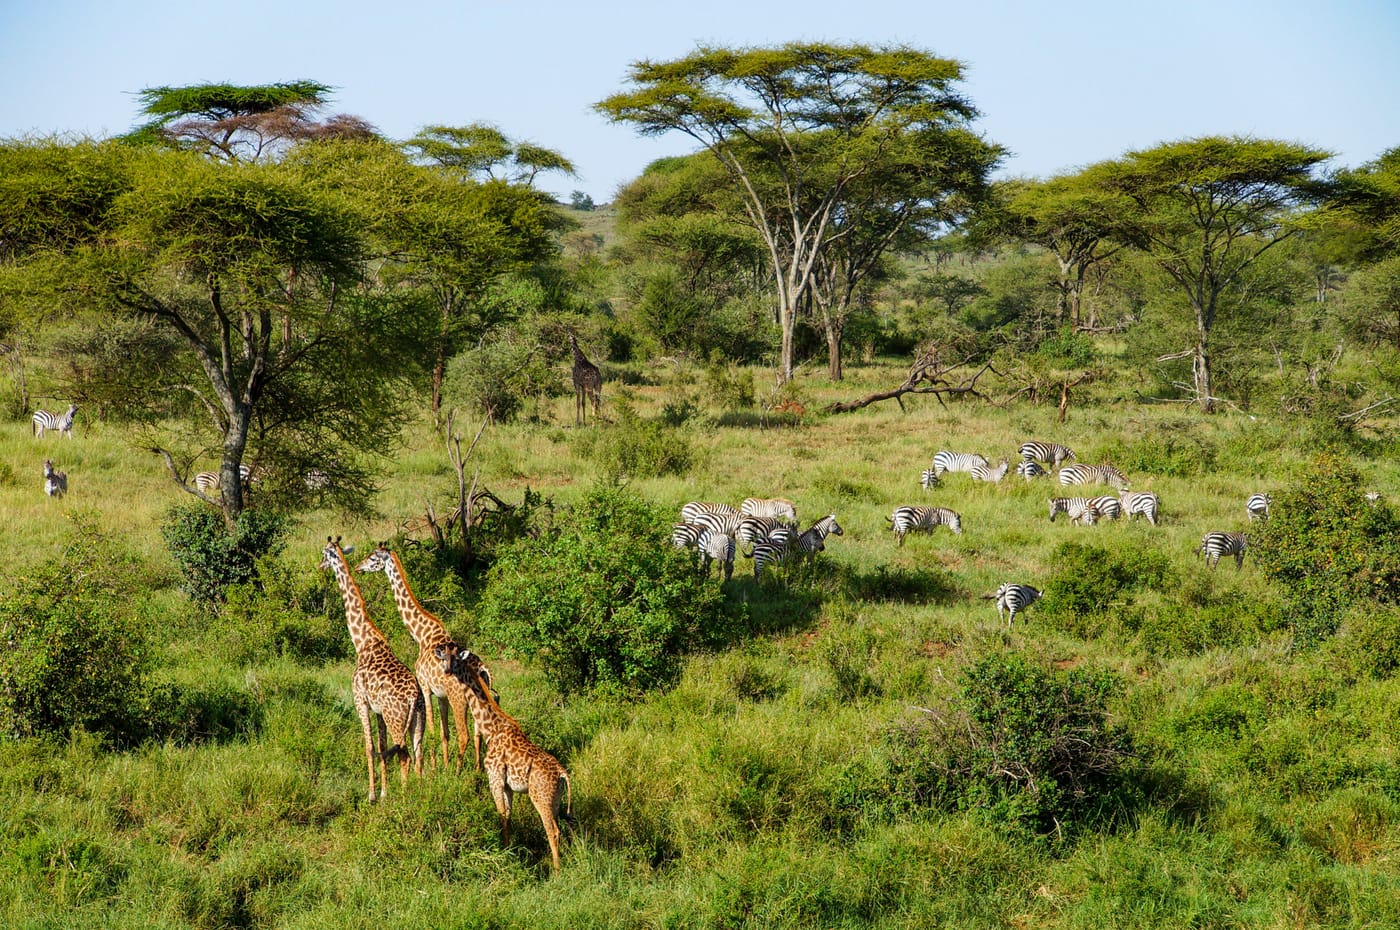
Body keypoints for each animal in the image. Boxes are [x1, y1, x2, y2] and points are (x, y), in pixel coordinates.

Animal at [320, 536, 426, 802]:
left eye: (324, 554)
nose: (320, 565)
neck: (363, 641)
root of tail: (413, 696)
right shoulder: (377, 709)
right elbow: (381, 746)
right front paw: (385, 792)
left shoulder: (360, 701)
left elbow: (369, 747)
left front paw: (372, 795)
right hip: (418, 719)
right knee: (417, 754)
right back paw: (421, 794)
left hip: (396, 718)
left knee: (404, 755)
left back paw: (405, 798)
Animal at [356, 542, 492, 772]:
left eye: (373, 557)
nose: (358, 567)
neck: (422, 634)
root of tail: (482, 669)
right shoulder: (441, 695)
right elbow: (444, 733)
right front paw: (443, 765)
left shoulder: (425, 686)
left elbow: (430, 729)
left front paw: (435, 769)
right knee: (478, 734)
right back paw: (477, 769)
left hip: (460, 699)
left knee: (464, 735)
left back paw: (458, 772)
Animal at [435, 641, 574, 872]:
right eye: (443, 657)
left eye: (455, 658)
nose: (446, 671)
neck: (492, 727)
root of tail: (563, 773)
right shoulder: (508, 786)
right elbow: (508, 816)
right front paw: (509, 849)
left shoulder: (495, 778)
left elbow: (500, 814)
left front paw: (503, 852)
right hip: (556, 800)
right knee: (563, 827)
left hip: (541, 798)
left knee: (553, 831)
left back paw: (557, 871)